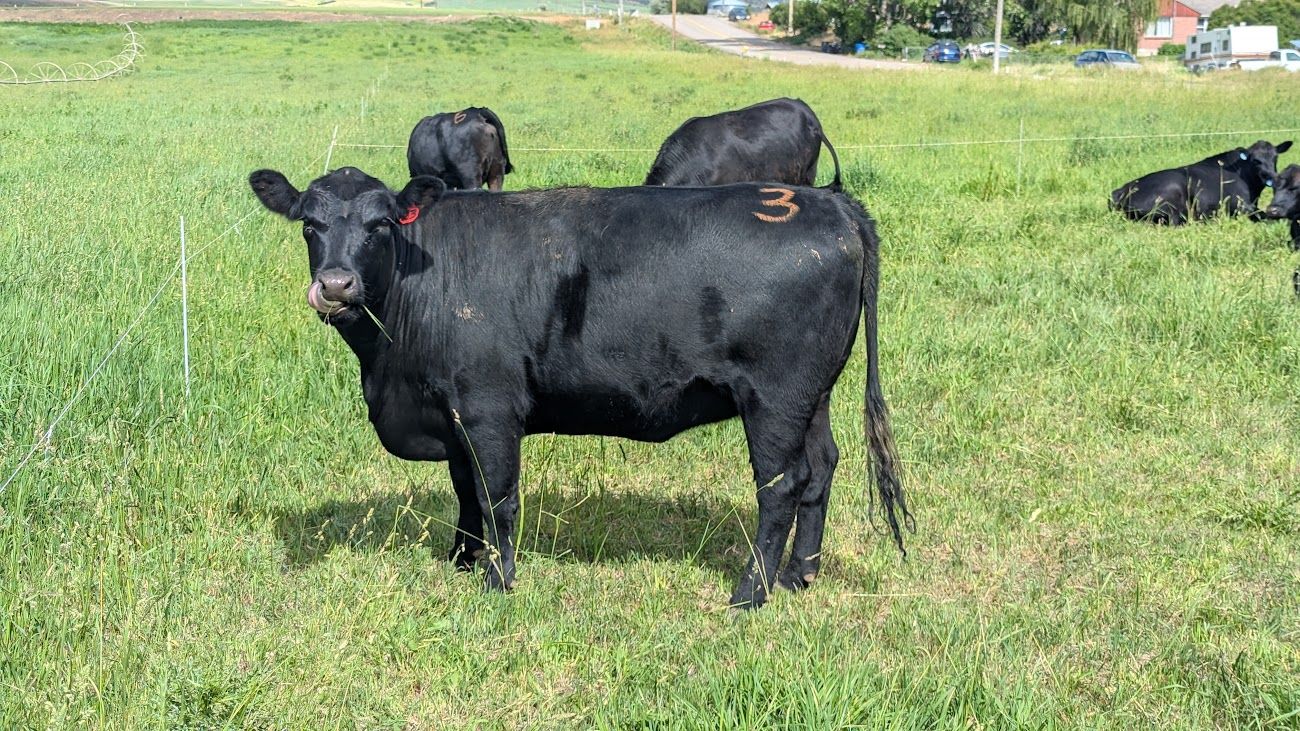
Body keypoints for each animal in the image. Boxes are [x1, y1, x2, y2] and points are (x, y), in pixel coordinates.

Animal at [248, 166, 911, 610]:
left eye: (381, 224)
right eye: (309, 225)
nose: (336, 285)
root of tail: (828, 202)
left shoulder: (489, 406)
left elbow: (497, 495)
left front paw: (498, 580)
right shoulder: (452, 411)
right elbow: (464, 489)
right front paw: (462, 560)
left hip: (775, 398)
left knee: (782, 486)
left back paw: (751, 592)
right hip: (813, 397)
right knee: (821, 468)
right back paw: (800, 574)